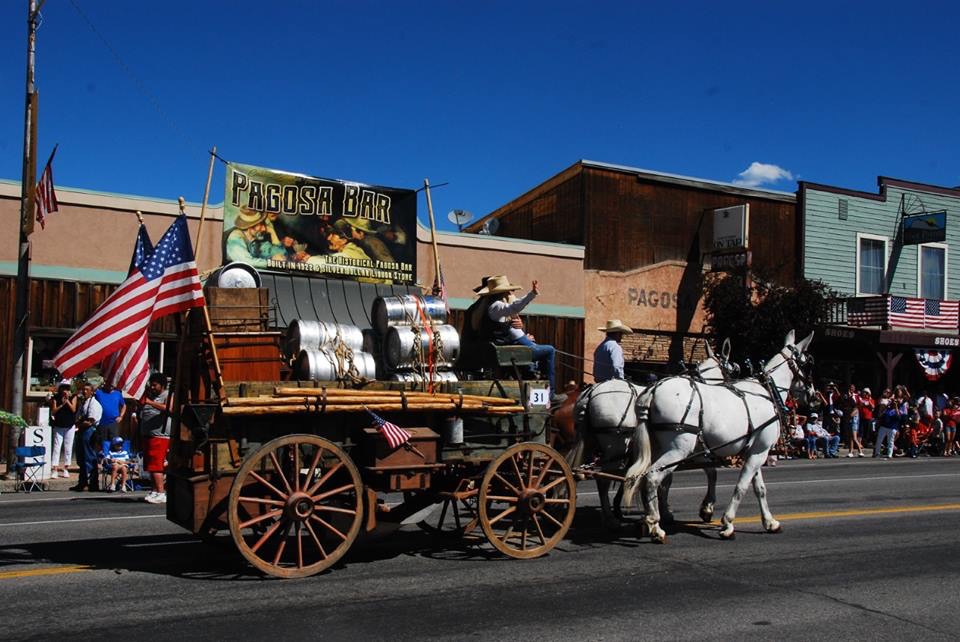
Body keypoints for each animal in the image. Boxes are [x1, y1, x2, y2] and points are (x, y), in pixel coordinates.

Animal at [624, 330, 808, 540]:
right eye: (807, 362)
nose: (812, 394)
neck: (766, 392)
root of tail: (653, 390)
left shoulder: (752, 450)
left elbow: (757, 487)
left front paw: (770, 522)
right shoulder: (759, 451)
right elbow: (741, 486)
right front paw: (727, 523)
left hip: (659, 447)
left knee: (644, 477)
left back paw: (649, 518)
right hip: (678, 449)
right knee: (653, 477)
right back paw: (655, 524)